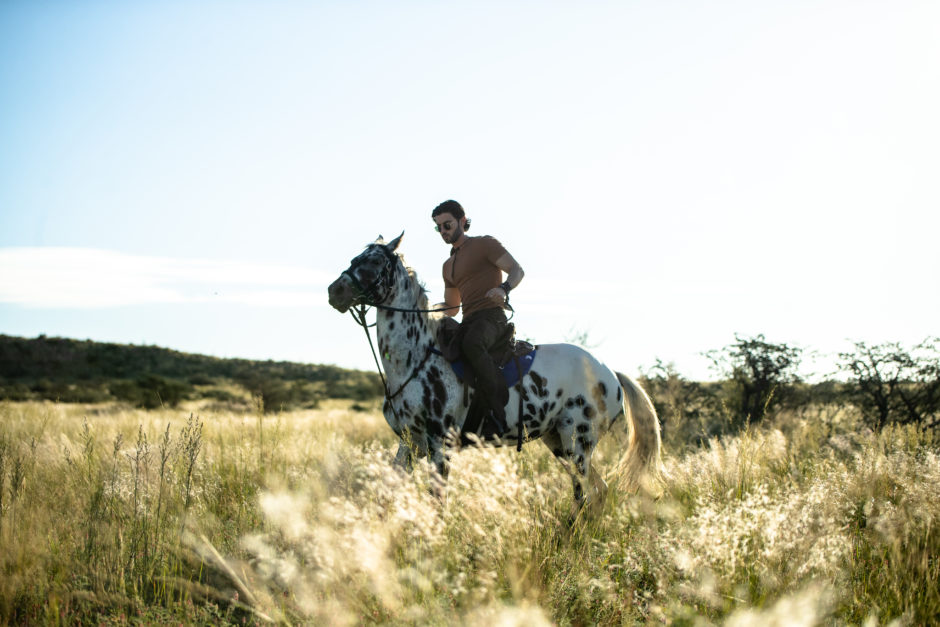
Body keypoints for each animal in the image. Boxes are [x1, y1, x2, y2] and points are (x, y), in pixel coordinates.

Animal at [326, 233, 664, 512]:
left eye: (374, 261)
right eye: (355, 258)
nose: (334, 291)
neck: (414, 357)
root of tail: (611, 373)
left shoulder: (440, 445)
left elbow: (437, 503)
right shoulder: (410, 443)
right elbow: (388, 492)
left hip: (577, 442)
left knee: (583, 493)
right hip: (557, 441)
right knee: (598, 491)